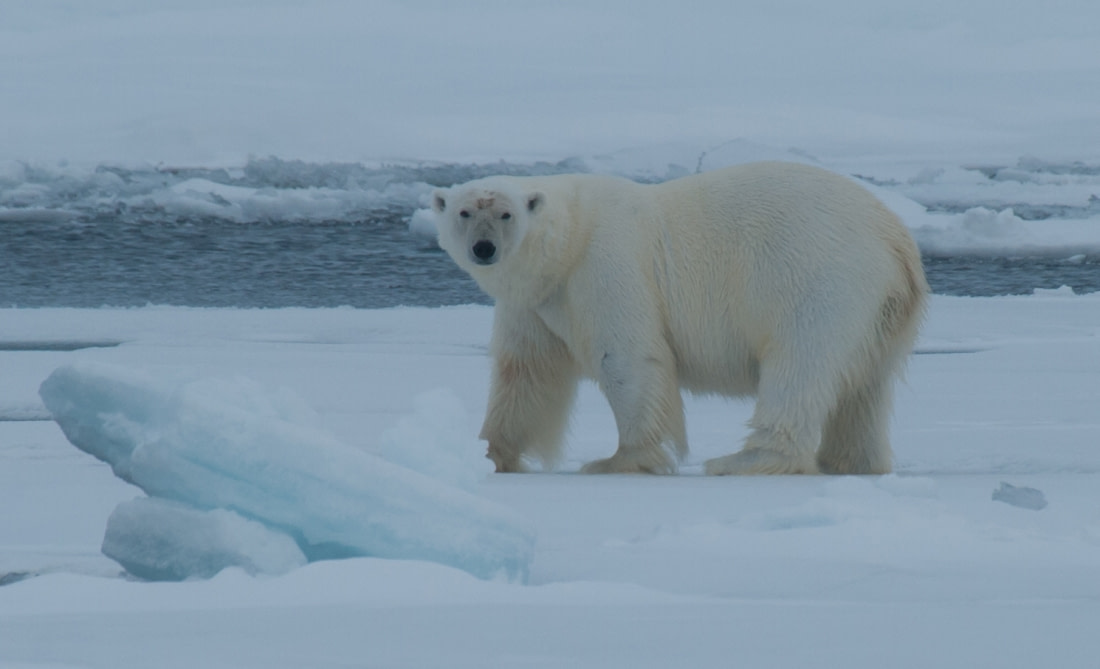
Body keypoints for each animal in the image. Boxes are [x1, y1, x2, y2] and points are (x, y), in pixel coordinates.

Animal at [431, 161, 927, 475]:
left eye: (505, 213)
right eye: (464, 211)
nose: (483, 248)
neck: (571, 237)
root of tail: (897, 241)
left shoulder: (605, 265)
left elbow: (626, 356)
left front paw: (617, 461)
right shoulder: (536, 302)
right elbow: (526, 373)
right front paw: (488, 453)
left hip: (818, 278)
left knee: (799, 365)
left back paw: (742, 461)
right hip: (880, 313)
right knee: (864, 387)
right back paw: (850, 461)